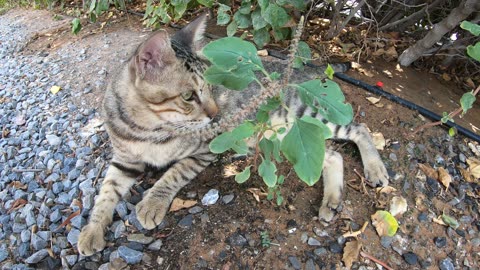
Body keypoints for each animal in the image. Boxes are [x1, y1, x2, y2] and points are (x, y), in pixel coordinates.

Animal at [77, 13, 388, 256]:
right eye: (189, 96)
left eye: (210, 87)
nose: (216, 115)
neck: (145, 130)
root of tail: (304, 72)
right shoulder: (123, 160)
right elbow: (105, 192)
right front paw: (92, 230)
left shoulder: (204, 150)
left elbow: (172, 175)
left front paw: (153, 202)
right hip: (289, 138)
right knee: (332, 154)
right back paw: (331, 201)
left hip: (298, 118)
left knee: (358, 129)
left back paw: (375, 169)